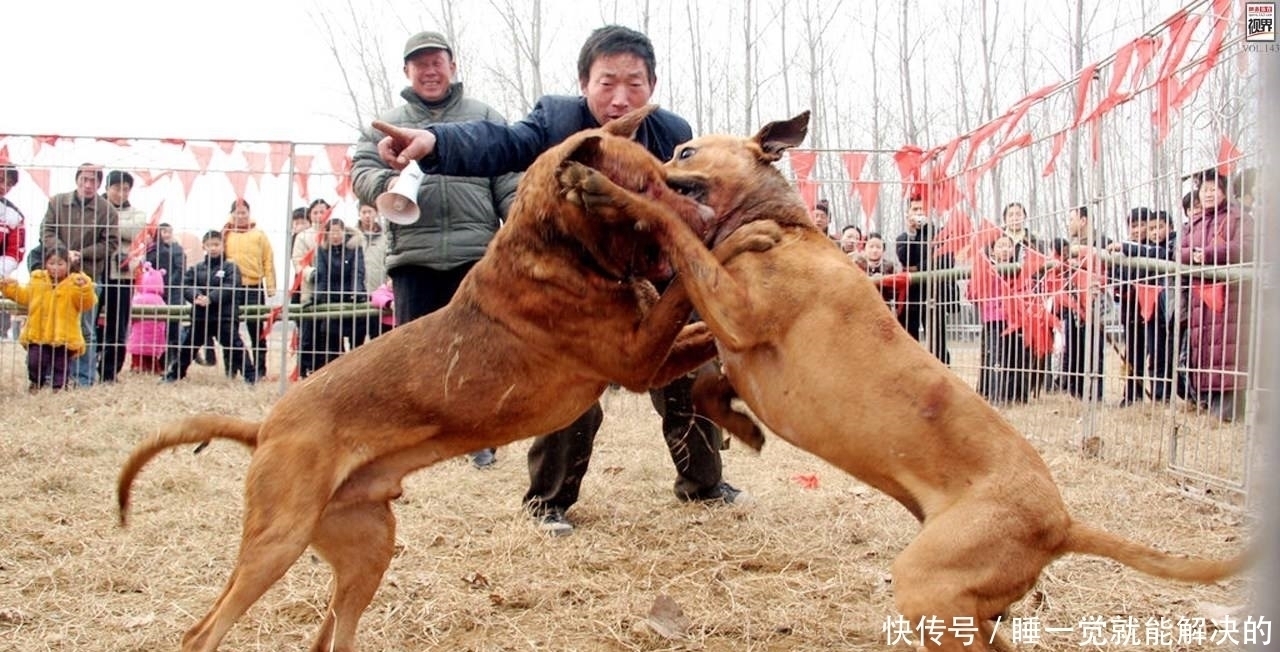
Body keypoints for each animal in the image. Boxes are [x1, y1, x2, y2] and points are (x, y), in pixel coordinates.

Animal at [117, 106, 732, 650]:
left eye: (665, 177)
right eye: (642, 186)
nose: (707, 220)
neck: (562, 249)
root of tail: (266, 428)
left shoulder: (656, 347)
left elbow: (705, 328)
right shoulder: (638, 358)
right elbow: (686, 286)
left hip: (368, 545)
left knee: (331, 634)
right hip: (278, 541)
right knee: (203, 632)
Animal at [560, 112, 1249, 650]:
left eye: (684, 153)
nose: (639, 155)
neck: (787, 226)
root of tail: (1060, 523)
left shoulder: (736, 309)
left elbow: (677, 231)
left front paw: (607, 190)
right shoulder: (728, 338)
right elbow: (706, 384)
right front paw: (743, 431)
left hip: (928, 585)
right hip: (960, 602)